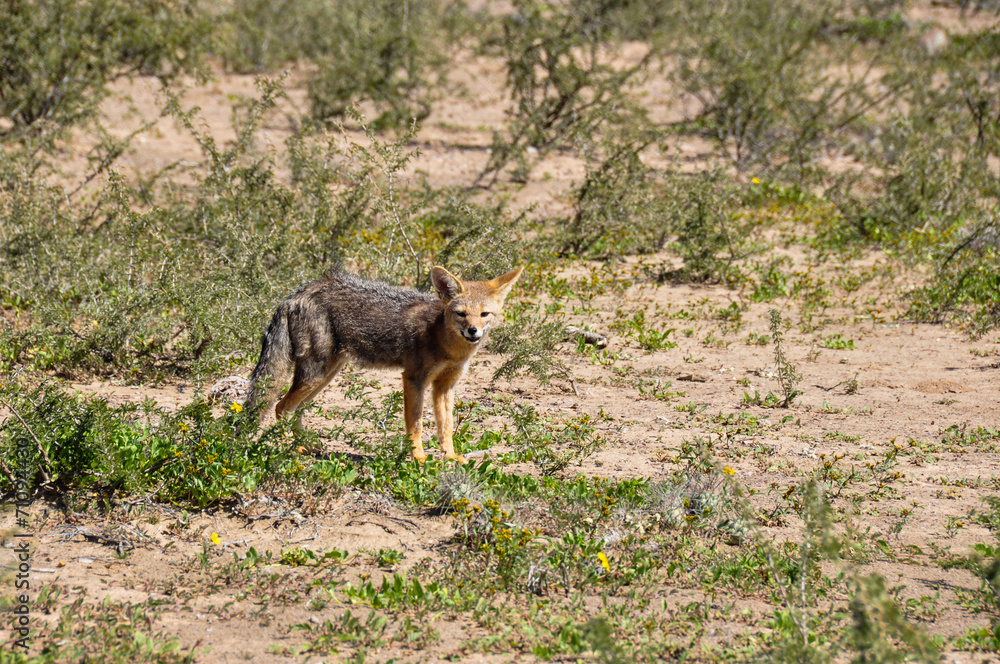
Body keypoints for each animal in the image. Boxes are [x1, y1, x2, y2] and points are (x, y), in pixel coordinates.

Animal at [244, 265, 524, 462]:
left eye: (484, 314)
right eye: (461, 314)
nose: (473, 331)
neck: (443, 341)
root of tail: (295, 294)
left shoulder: (445, 386)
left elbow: (446, 428)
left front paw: (451, 457)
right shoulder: (413, 378)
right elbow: (416, 424)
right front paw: (418, 458)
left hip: (326, 375)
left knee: (294, 409)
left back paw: (304, 445)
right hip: (315, 374)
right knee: (281, 407)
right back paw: (287, 449)